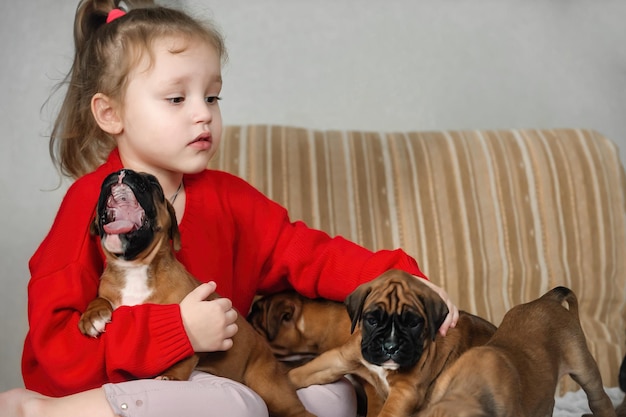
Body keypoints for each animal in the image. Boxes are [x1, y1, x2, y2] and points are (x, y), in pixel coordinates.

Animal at [78, 167, 312, 416]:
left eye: (154, 183)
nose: (123, 172)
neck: (136, 267)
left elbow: (186, 354)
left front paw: (171, 377)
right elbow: (99, 299)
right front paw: (92, 316)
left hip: (271, 390)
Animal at [286, 268, 494, 414]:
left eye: (413, 323)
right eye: (372, 320)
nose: (390, 347)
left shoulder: (404, 392)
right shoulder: (338, 359)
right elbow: (298, 374)